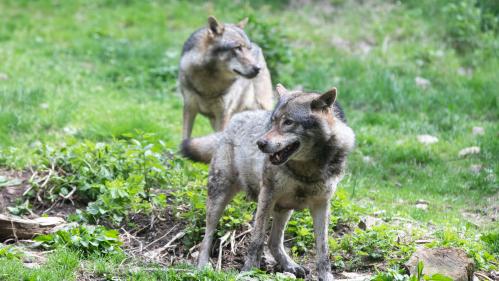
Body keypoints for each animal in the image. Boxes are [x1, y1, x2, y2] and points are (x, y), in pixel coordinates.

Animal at [181, 83, 356, 280]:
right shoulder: (267, 196)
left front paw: (326, 276)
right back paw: (202, 267)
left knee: (274, 242)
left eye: (288, 122)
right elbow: (256, 240)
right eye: (273, 121)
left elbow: (323, 249)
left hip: (285, 208)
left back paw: (290, 266)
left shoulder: (321, 205)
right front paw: (248, 271)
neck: (307, 170)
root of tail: (230, 124)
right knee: (207, 236)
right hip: (219, 199)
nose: (260, 143)